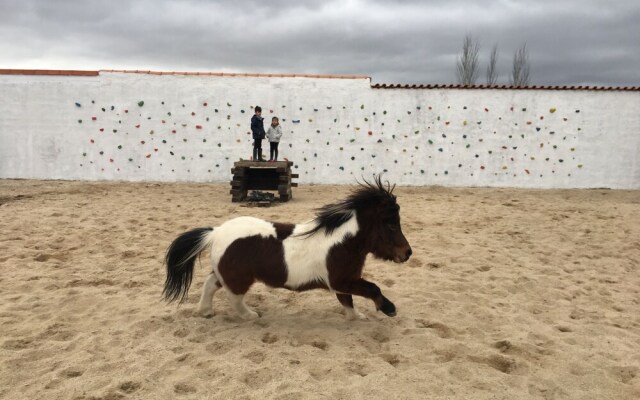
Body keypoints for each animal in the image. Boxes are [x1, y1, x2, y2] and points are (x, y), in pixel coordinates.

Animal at [162, 175, 412, 320]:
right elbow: (372, 289)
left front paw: (357, 317)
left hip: (229, 274)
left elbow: (347, 301)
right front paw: (389, 309)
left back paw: (205, 311)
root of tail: (215, 232)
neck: (342, 241)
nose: (407, 253)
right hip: (240, 278)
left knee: (211, 284)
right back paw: (250, 315)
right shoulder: (341, 280)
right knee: (234, 298)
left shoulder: (344, 281)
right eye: (391, 224)